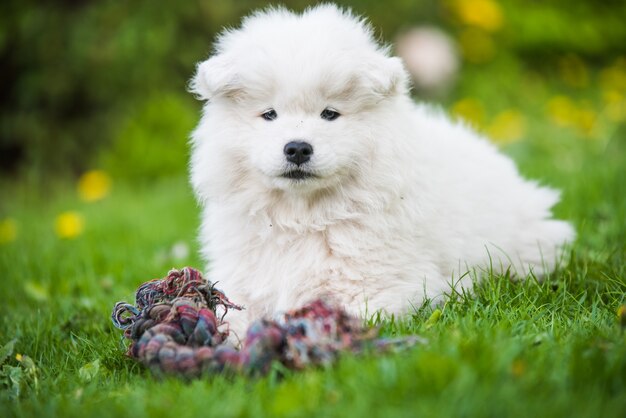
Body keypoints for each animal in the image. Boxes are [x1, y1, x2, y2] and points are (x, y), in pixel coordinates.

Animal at [188, 3, 572, 336]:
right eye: (269, 114)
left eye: (330, 114)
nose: (297, 148)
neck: (302, 217)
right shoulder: (244, 279)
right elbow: (230, 315)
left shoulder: (384, 283)